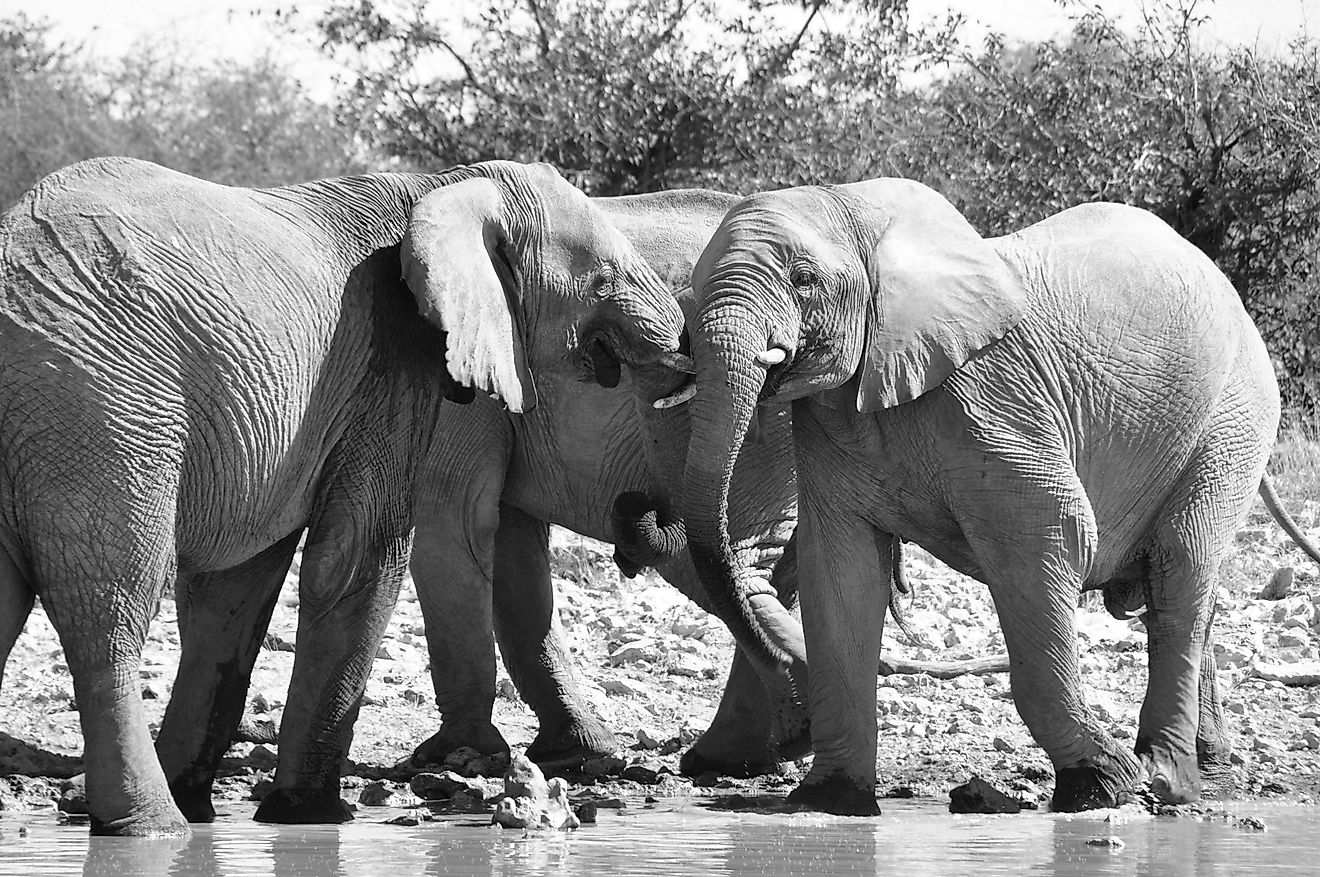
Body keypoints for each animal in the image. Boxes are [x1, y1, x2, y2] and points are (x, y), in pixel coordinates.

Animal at [0, 155, 681, 834]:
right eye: (603, 280)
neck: (448, 186)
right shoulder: (390, 353)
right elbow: (359, 553)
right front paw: (311, 816)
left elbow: (236, 593)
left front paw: (215, 807)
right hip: (103, 411)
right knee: (110, 615)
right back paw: (150, 827)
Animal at [601, 178, 1320, 813]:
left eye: (804, 281)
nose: (636, 509)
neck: (860, 210)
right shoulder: (830, 421)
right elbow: (842, 573)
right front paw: (829, 800)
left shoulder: (996, 399)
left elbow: (1050, 537)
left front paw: (1102, 784)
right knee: (1183, 591)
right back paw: (1200, 772)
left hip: (1233, 418)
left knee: (1180, 570)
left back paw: (1163, 779)